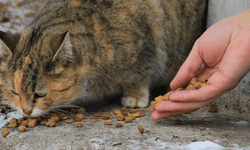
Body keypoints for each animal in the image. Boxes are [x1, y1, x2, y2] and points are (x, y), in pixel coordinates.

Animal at [0, 0, 207, 116]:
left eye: (40, 94)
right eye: (14, 92)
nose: (26, 111)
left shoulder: (145, 46)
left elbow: (138, 74)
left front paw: (134, 96)